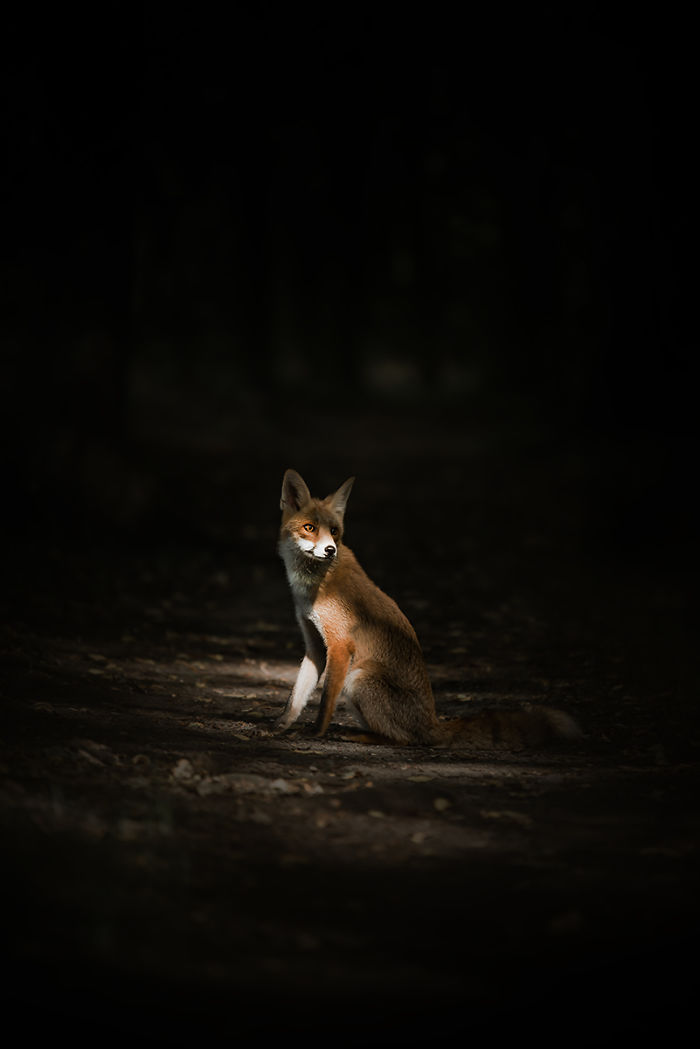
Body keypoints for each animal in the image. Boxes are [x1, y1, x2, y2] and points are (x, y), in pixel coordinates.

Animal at [276, 469, 582, 748]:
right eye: (309, 528)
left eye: (335, 532)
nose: (330, 550)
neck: (315, 584)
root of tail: (432, 722)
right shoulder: (315, 644)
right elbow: (297, 696)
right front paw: (281, 725)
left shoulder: (341, 645)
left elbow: (326, 700)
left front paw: (316, 733)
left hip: (359, 677)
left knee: (404, 739)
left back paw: (358, 735)